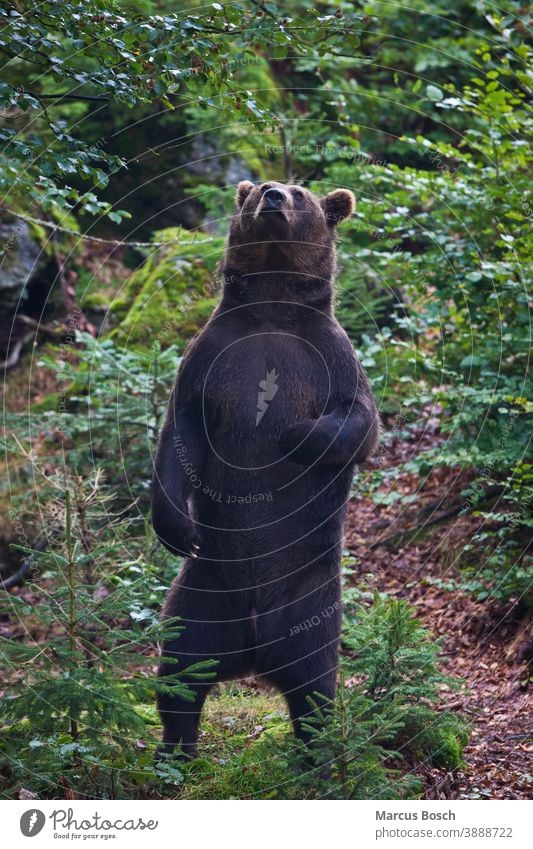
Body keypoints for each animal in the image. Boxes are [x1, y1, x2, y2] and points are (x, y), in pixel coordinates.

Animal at [152, 177, 380, 756]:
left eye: (300, 193)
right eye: (258, 190)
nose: (273, 195)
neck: (272, 308)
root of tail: (252, 651)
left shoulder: (331, 357)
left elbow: (359, 423)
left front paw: (291, 435)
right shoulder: (209, 359)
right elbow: (178, 433)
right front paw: (175, 526)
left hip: (311, 601)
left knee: (315, 683)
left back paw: (315, 754)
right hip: (204, 591)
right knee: (181, 666)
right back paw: (175, 747)